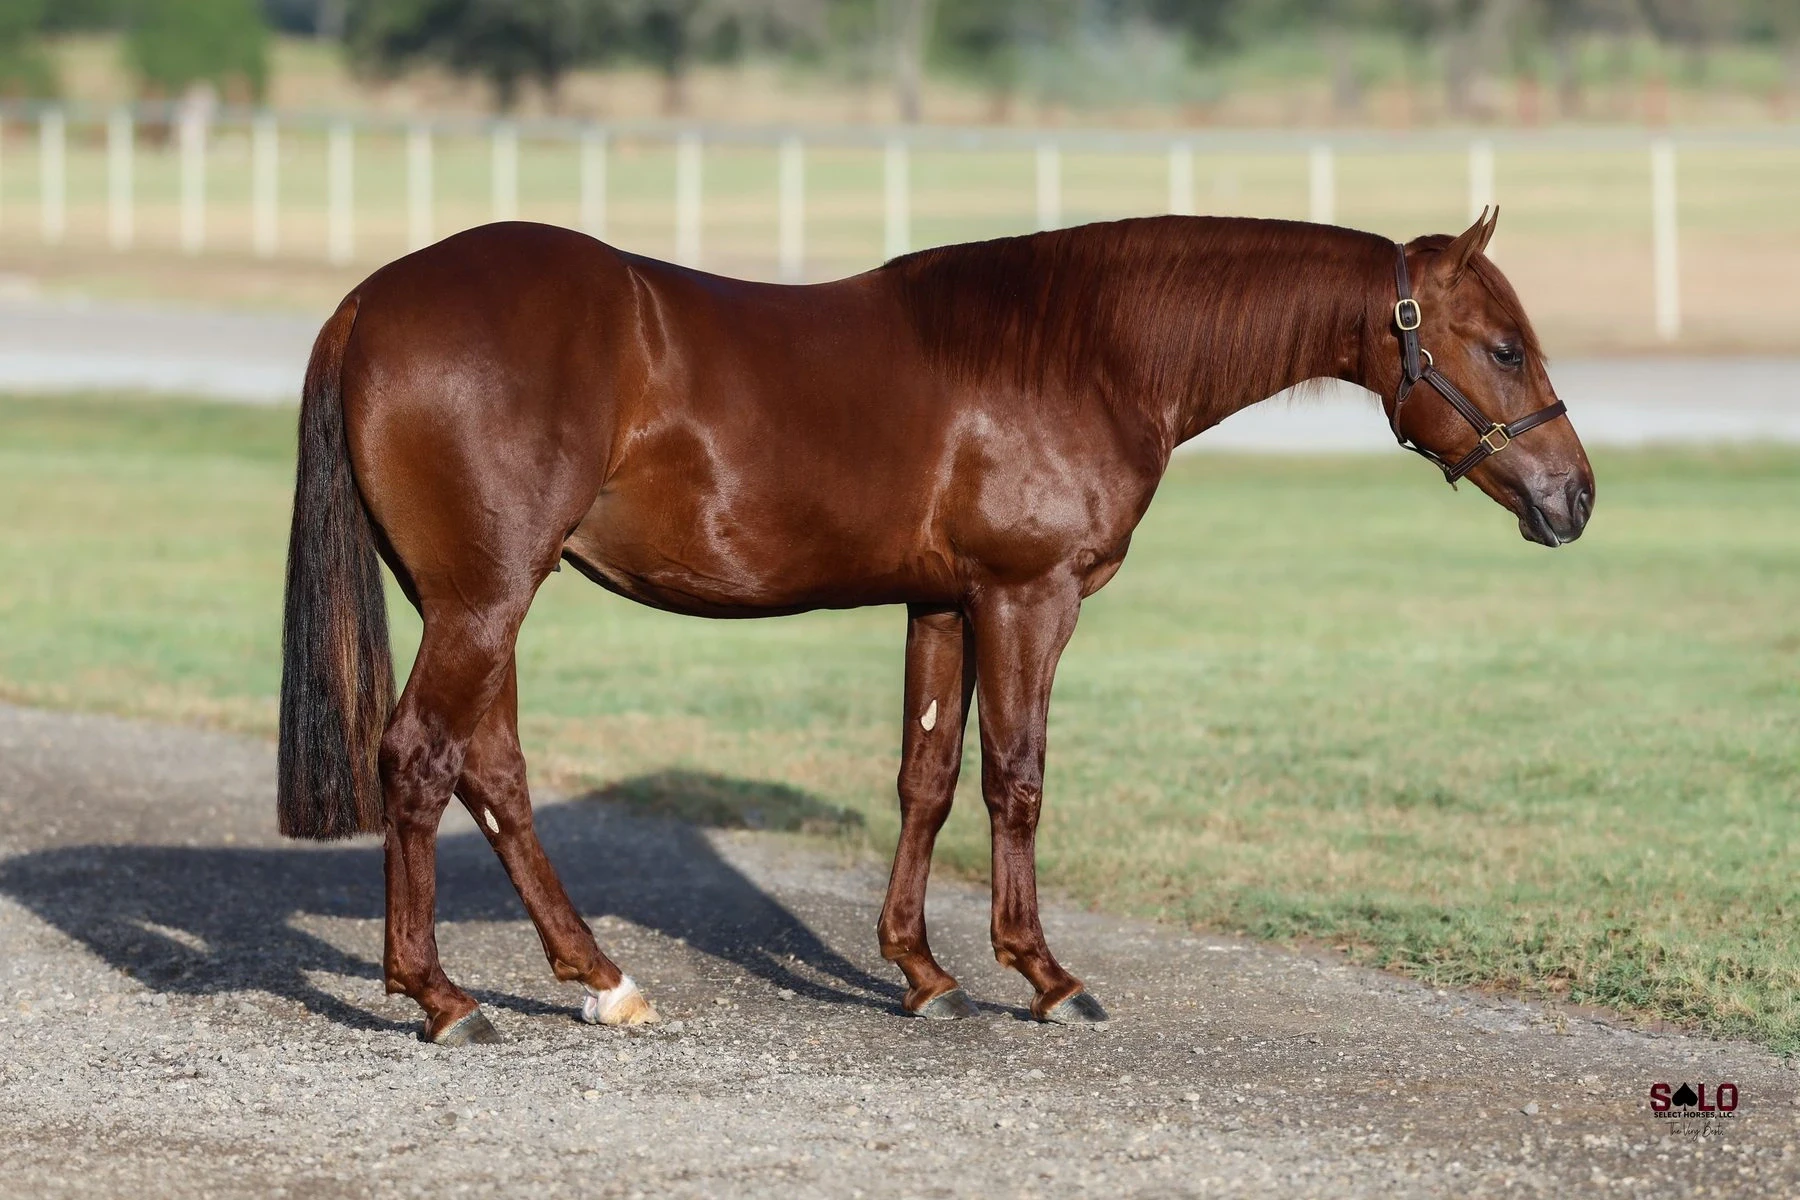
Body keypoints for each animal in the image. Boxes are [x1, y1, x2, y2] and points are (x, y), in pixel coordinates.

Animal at [277, 207, 1593, 1045]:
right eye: (1502, 344)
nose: (1574, 497)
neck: (1083, 350)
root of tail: (368, 304)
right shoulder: (1027, 596)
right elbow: (1016, 777)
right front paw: (1044, 975)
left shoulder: (945, 604)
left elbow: (927, 779)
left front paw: (922, 974)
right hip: (484, 601)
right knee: (421, 760)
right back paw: (443, 999)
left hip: (477, 600)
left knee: (490, 770)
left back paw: (603, 982)